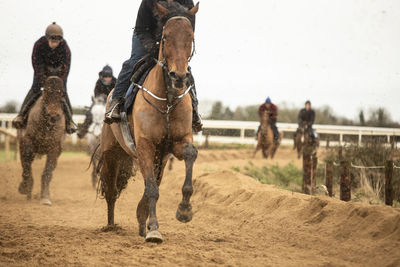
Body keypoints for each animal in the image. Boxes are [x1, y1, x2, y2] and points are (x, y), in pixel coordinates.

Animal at [18, 74, 66, 206]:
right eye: (45, 93)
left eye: (61, 94)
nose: (53, 116)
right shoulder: (27, 142)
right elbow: (27, 164)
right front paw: (25, 186)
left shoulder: (54, 149)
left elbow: (47, 172)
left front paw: (45, 197)